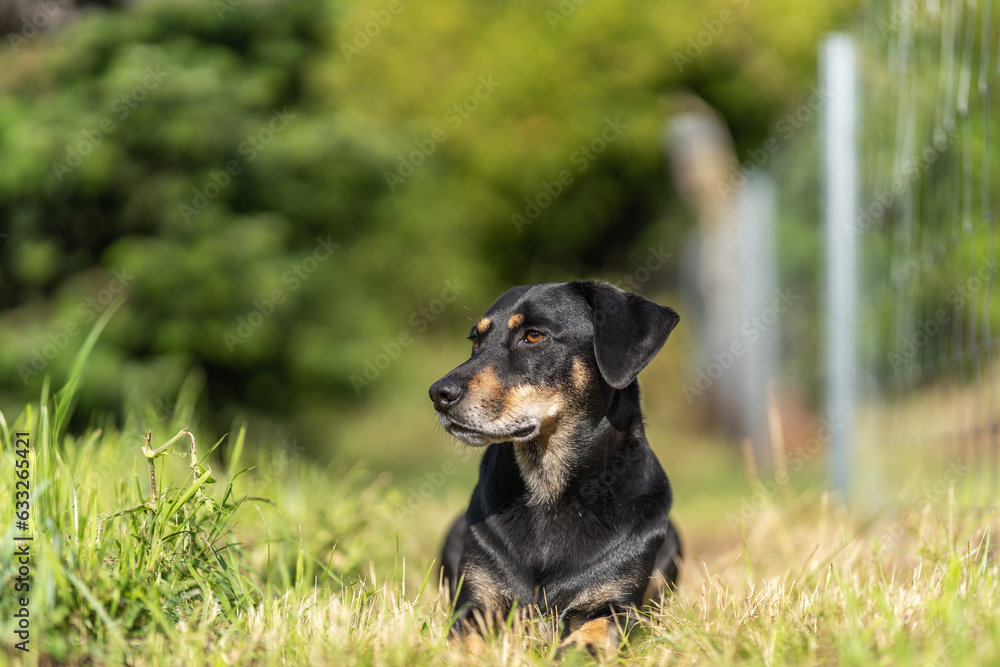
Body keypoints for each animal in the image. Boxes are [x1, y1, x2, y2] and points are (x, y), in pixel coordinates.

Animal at [426, 280, 684, 656]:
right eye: (475, 340)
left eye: (533, 336)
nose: (438, 394)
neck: (548, 491)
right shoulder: (476, 603)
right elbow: (465, 645)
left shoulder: (617, 605)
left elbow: (592, 635)